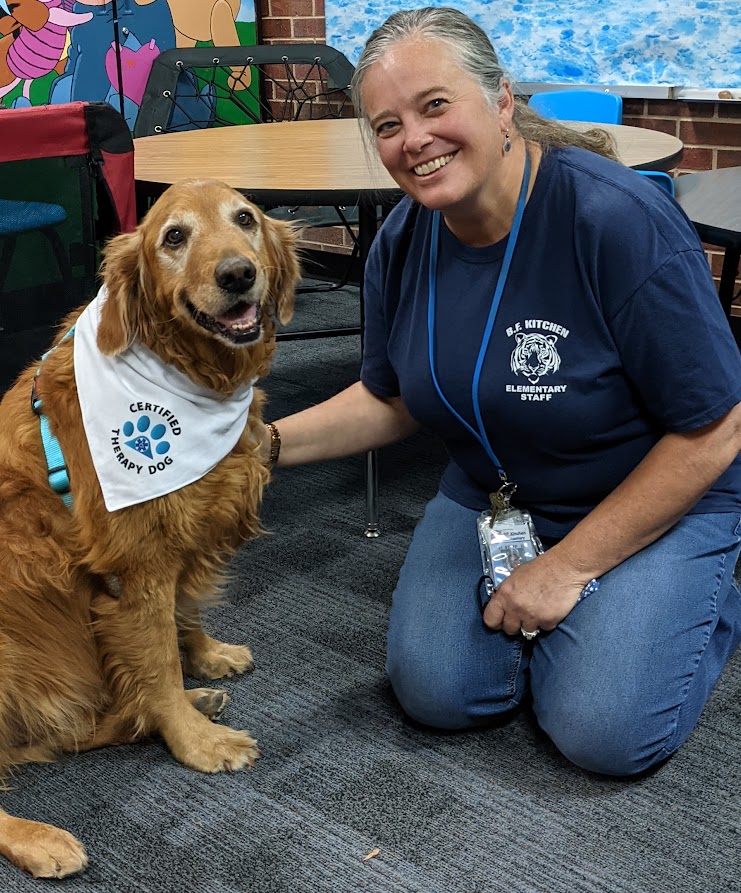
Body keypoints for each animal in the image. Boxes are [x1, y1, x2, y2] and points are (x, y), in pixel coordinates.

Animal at [0, 178, 298, 876]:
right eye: (174, 237)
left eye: (245, 218)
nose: (238, 274)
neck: (187, 374)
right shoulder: (135, 569)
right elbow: (157, 658)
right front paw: (193, 741)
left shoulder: (179, 540)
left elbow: (182, 620)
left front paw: (206, 662)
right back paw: (39, 836)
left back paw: (149, 713)